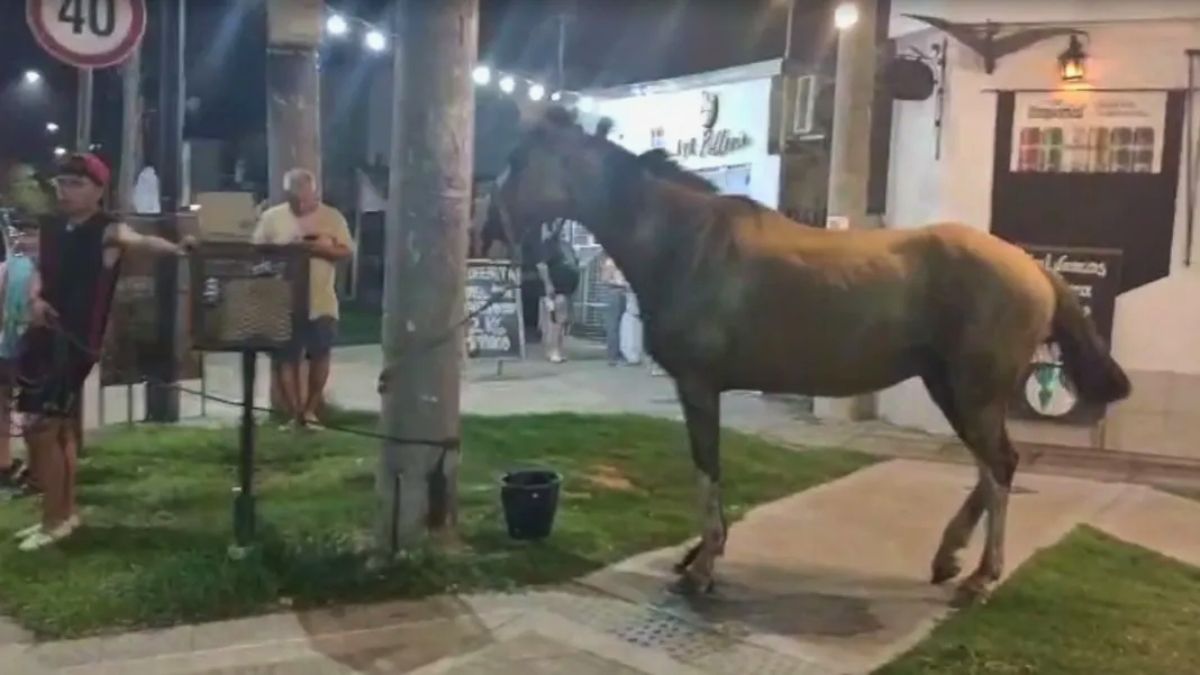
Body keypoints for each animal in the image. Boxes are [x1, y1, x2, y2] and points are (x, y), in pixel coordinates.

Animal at [491, 107, 1131, 605]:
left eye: (518, 161)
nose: (492, 221)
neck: (685, 241)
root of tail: (1034, 269)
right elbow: (710, 472)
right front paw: (700, 553)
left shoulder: (698, 385)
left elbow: (707, 469)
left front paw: (703, 567)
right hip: (951, 387)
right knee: (991, 466)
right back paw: (949, 557)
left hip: (974, 390)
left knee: (998, 467)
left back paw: (979, 577)